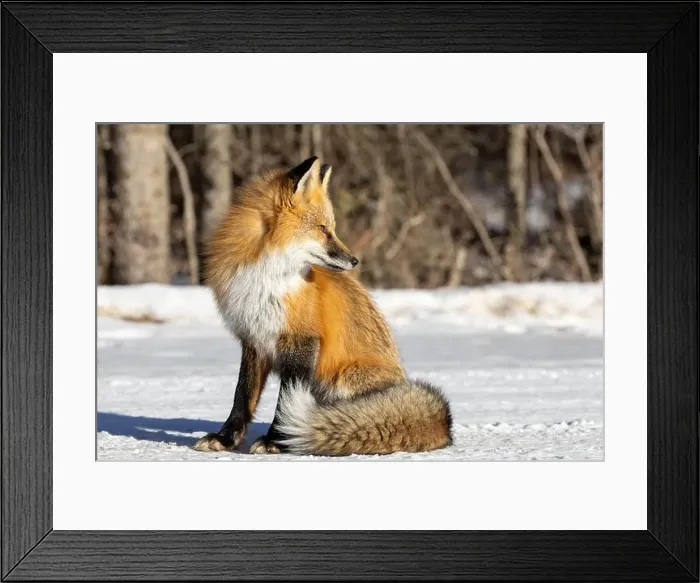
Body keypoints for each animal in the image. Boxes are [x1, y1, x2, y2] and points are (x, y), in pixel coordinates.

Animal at [193, 156, 452, 456]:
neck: (266, 279)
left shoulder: (302, 340)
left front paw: (276, 441)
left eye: (332, 228)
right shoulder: (253, 340)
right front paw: (225, 438)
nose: (354, 261)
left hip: (341, 378)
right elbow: (242, 396)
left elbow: (284, 400)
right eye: (323, 229)